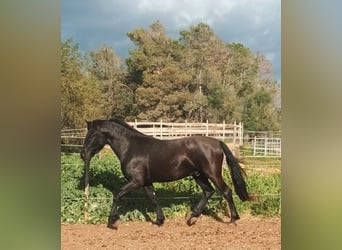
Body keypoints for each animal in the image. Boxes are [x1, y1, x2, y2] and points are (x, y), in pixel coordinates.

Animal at [81, 118, 250, 229]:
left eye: (91, 135)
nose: (83, 155)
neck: (130, 147)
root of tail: (218, 142)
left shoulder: (136, 181)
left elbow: (117, 195)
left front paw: (112, 222)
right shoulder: (146, 182)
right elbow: (154, 199)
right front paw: (159, 220)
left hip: (212, 174)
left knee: (226, 191)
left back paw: (233, 219)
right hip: (198, 175)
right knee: (209, 192)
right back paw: (192, 218)